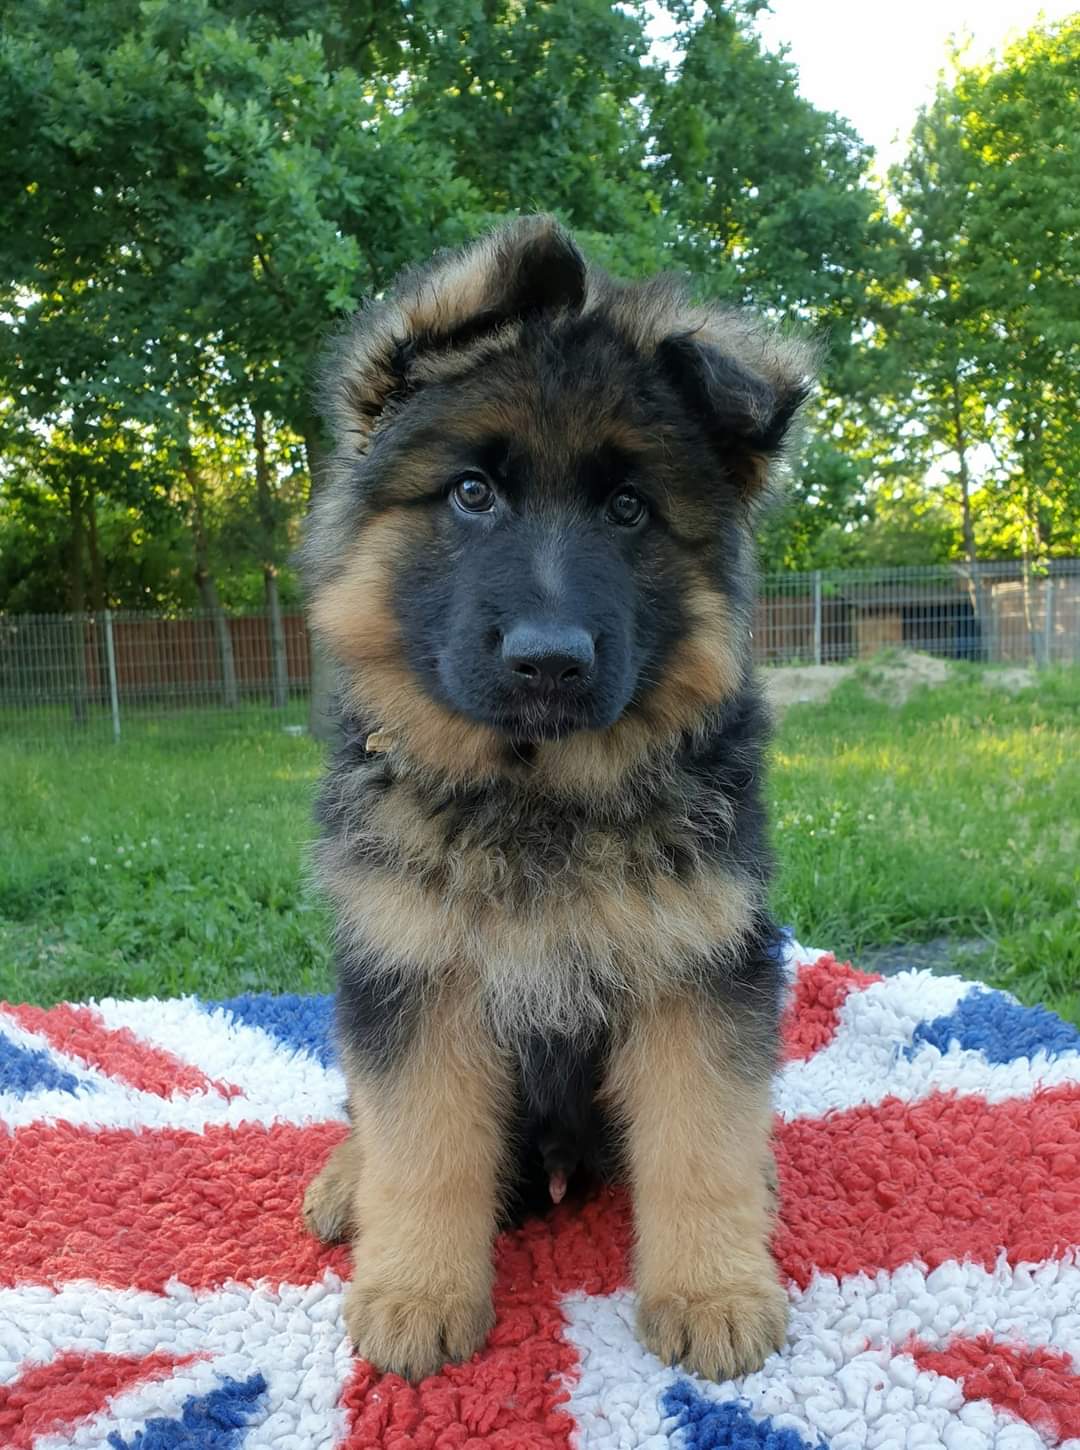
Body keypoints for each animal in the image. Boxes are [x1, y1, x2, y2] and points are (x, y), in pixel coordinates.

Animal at [299, 215, 812, 1384]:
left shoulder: (698, 969)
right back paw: (347, 1181)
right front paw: (417, 1292)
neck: (537, 795)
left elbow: (701, 1142)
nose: (548, 661)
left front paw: (712, 1290)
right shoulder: (416, 973)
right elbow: (424, 1146)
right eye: (471, 493)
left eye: (628, 509)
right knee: (364, 1115)